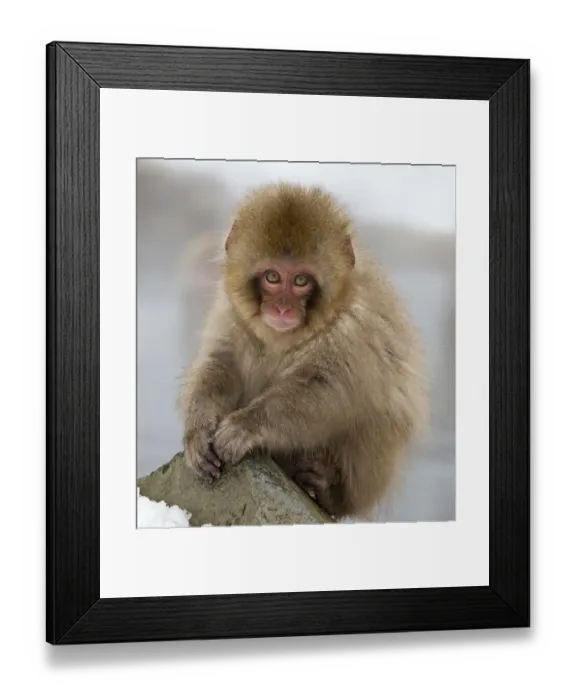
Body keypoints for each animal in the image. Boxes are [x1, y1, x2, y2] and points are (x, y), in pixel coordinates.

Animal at [178, 182, 428, 521]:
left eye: (300, 280)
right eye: (272, 277)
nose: (283, 308)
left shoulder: (353, 329)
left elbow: (325, 391)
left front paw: (247, 425)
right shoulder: (231, 313)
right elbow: (220, 364)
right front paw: (199, 427)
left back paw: (326, 489)